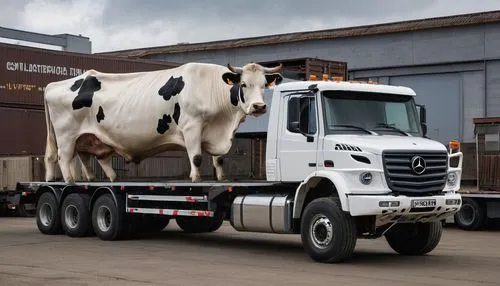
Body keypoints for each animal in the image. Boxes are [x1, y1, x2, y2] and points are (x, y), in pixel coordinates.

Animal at [44, 62, 282, 183]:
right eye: (243, 84)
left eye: (264, 84)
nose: (259, 106)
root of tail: (52, 85)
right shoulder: (192, 126)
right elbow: (196, 157)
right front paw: (196, 179)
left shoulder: (217, 131)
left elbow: (219, 159)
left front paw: (222, 178)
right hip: (66, 135)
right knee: (63, 157)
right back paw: (70, 181)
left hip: (87, 136)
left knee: (87, 156)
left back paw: (101, 178)